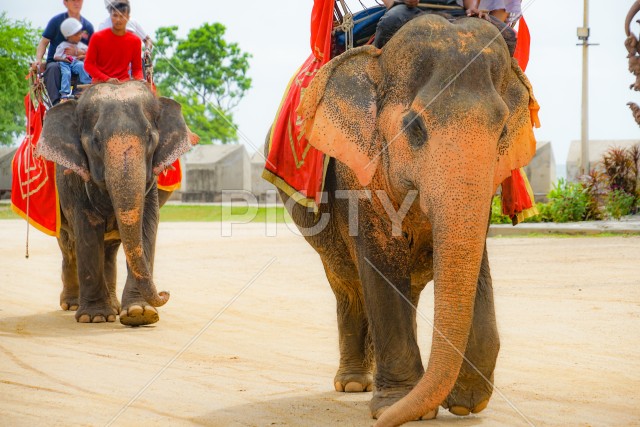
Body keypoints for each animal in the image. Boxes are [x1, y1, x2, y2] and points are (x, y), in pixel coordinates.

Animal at [37, 81, 198, 328]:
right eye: (95, 141)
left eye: (150, 138)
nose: (165, 293)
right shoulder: (74, 182)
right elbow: (87, 230)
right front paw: (94, 317)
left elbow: (146, 227)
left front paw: (140, 313)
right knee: (68, 245)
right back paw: (73, 305)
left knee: (109, 251)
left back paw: (113, 306)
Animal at [272, 14, 536, 427]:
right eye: (414, 127)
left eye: (504, 131)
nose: (384, 420)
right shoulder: (356, 170)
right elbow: (380, 264)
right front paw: (396, 406)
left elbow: (476, 257)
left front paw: (465, 404)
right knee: (347, 284)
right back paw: (353, 385)